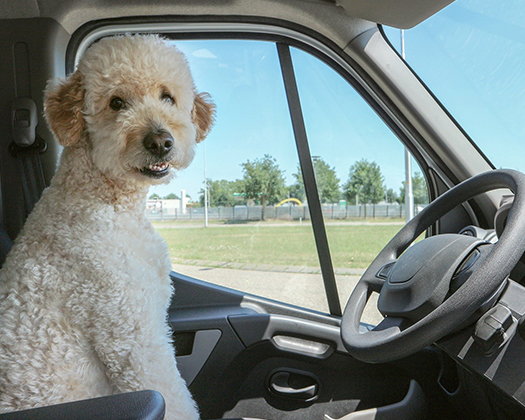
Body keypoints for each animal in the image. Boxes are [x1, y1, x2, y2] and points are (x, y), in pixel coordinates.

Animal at [0, 34, 215, 418]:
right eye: (117, 103)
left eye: (167, 97)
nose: (160, 141)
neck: (111, 204)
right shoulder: (132, 336)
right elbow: (173, 397)